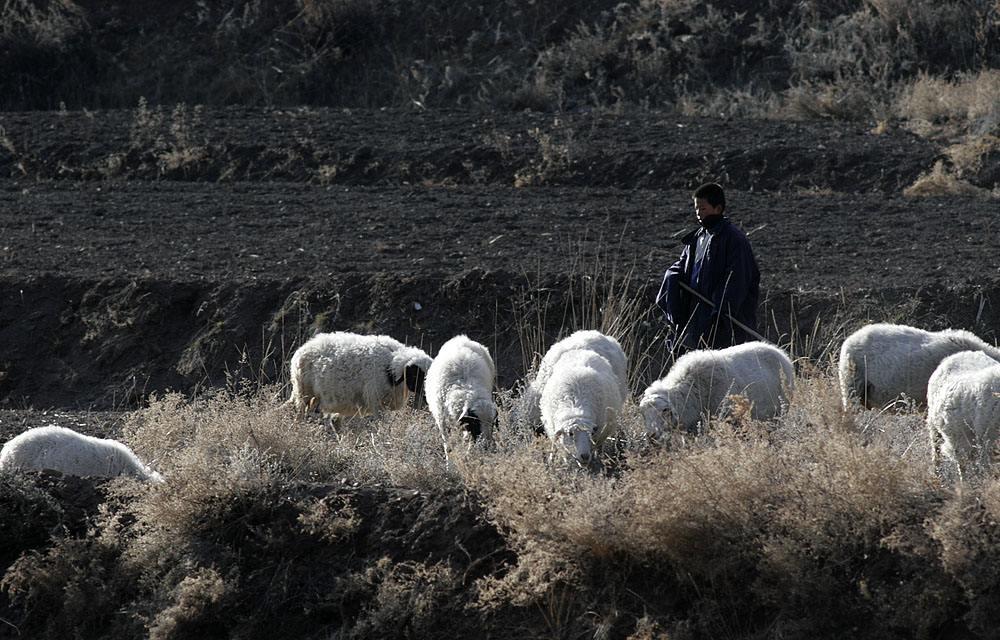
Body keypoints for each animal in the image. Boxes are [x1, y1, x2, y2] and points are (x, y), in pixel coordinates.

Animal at [288, 330, 432, 420]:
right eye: (416, 375)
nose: (428, 397)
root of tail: (301, 350)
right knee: (300, 414)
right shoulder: (376, 402)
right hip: (303, 392)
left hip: (315, 397)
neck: (390, 365)